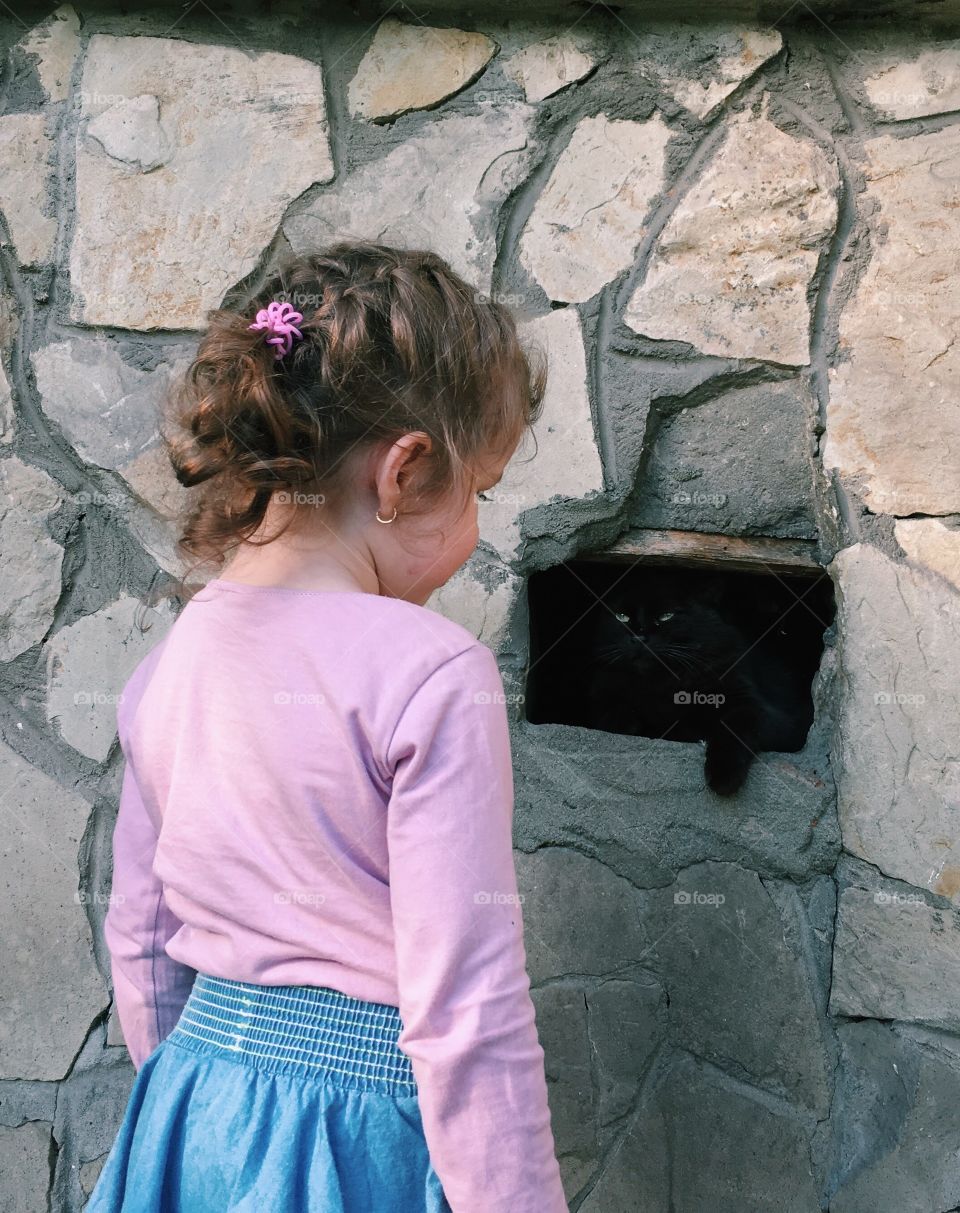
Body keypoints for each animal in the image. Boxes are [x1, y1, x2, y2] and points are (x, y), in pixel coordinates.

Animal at [577, 570, 820, 795]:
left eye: (666, 616)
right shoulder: (603, 694)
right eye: (622, 617)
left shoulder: (756, 707)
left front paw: (724, 777)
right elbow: (615, 713)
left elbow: (735, 726)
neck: (662, 686)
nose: (638, 638)